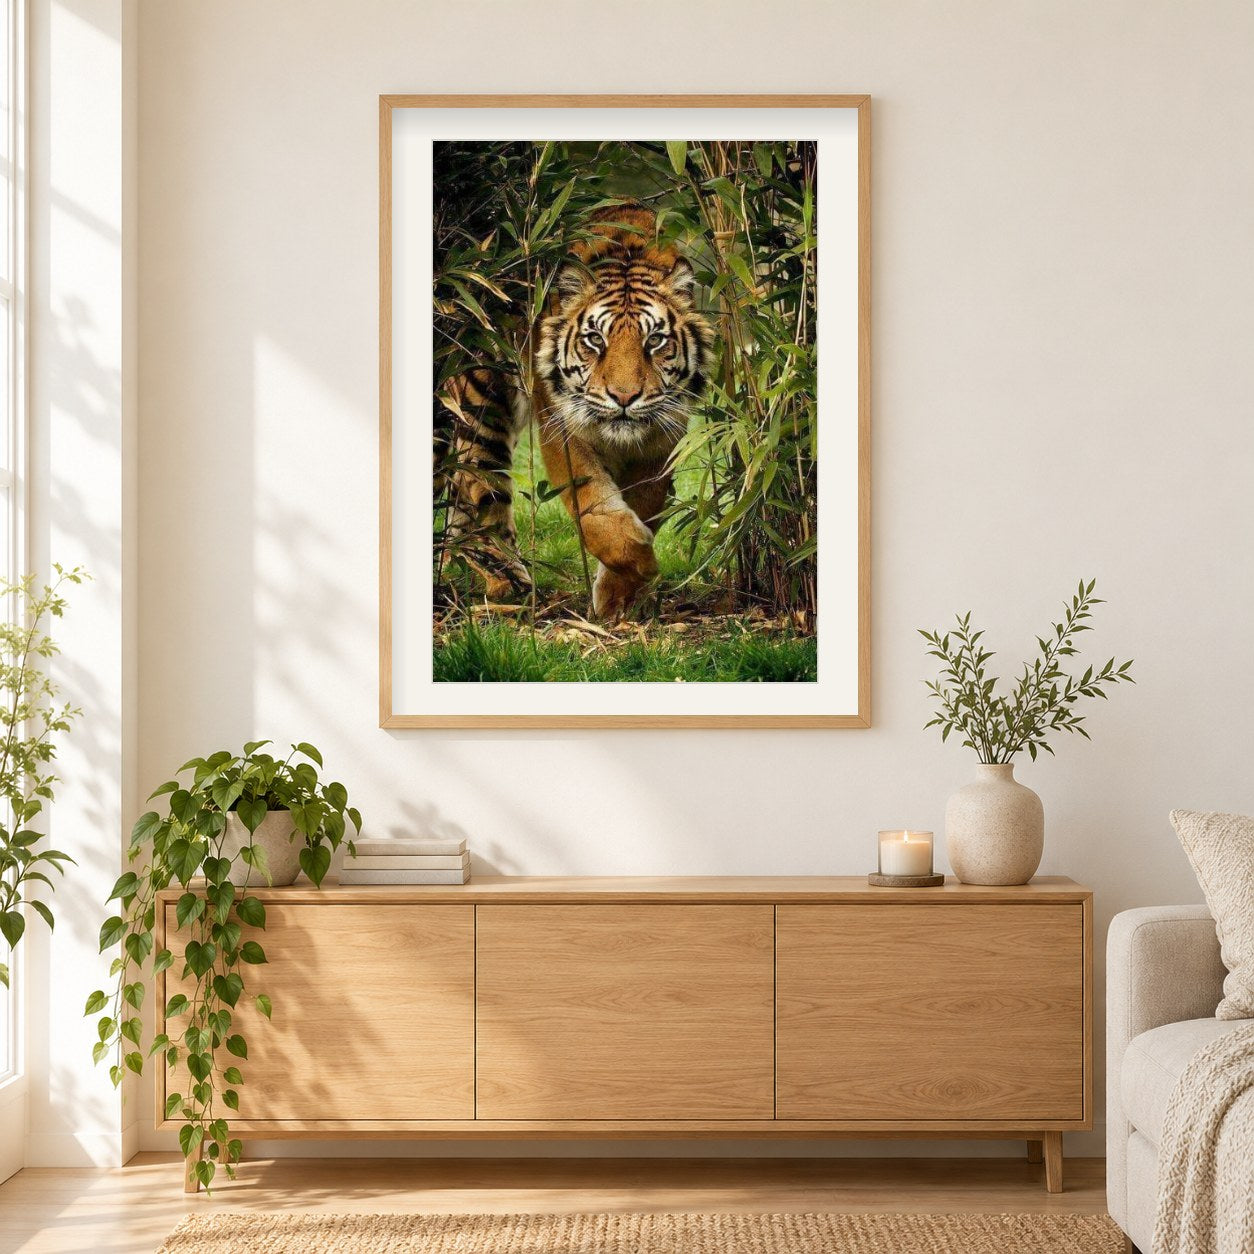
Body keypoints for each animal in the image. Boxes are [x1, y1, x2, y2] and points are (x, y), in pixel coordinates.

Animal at [440, 203, 714, 620]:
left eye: (654, 340)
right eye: (595, 339)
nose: (623, 397)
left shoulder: (661, 439)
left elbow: (644, 503)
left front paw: (620, 599)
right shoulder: (563, 428)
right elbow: (594, 509)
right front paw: (642, 563)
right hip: (482, 404)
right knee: (478, 491)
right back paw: (509, 584)